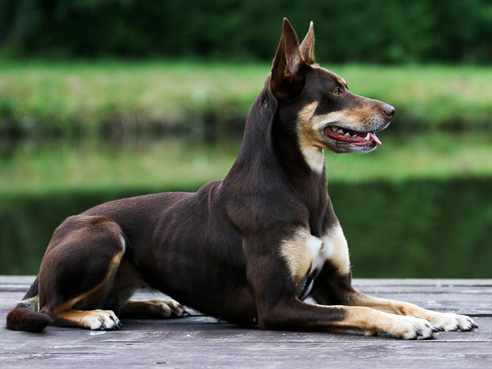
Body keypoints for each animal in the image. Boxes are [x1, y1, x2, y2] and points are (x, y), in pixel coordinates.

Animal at [5, 19, 478, 336]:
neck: (300, 189)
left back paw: (157, 306)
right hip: (104, 233)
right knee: (49, 307)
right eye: (336, 90)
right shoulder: (276, 305)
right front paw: (402, 326)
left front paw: (444, 315)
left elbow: (398, 301)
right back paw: (93, 316)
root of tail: (60, 231)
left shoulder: (336, 287)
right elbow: (364, 312)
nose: (393, 111)